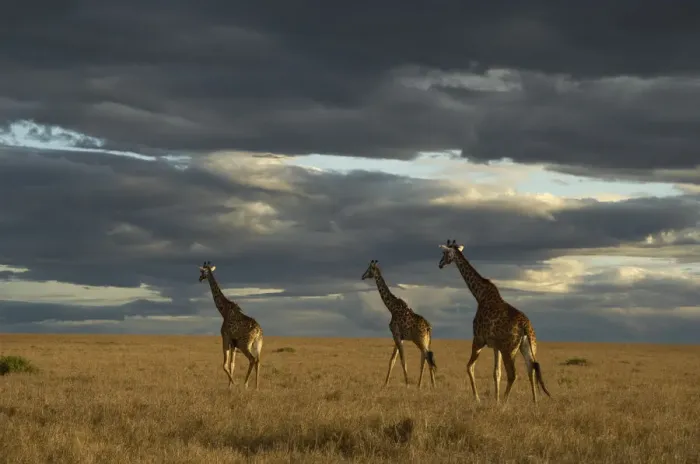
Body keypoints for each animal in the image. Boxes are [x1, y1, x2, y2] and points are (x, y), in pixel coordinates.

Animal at [198, 261, 263, 390]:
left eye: (203, 271)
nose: (199, 278)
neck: (224, 310)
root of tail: (258, 331)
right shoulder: (234, 343)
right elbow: (232, 364)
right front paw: (230, 386)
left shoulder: (226, 337)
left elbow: (225, 365)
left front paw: (233, 383)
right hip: (257, 345)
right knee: (258, 361)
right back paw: (256, 387)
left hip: (245, 345)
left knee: (252, 359)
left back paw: (245, 384)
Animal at [362, 259, 437, 388]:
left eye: (369, 269)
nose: (362, 276)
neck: (392, 308)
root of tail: (428, 327)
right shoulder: (399, 337)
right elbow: (392, 360)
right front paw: (385, 384)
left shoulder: (396, 334)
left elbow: (402, 360)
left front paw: (407, 384)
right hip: (425, 340)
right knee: (425, 357)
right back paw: (420, 385)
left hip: (419, 340)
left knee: (427, 356)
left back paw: (433, 385)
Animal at [437, 240, 551, 404]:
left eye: (444, 253)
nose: (440, 264)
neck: (480, 296)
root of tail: (525, 326)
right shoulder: (496, 346)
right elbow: (496, 373)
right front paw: (495, 401)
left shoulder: (479, 339)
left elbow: (469, 367)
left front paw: (478, 398)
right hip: (528, 347)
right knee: (531, 369)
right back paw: (534, 402)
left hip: (509, 349)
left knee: (513, 374)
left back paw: (505, 402)